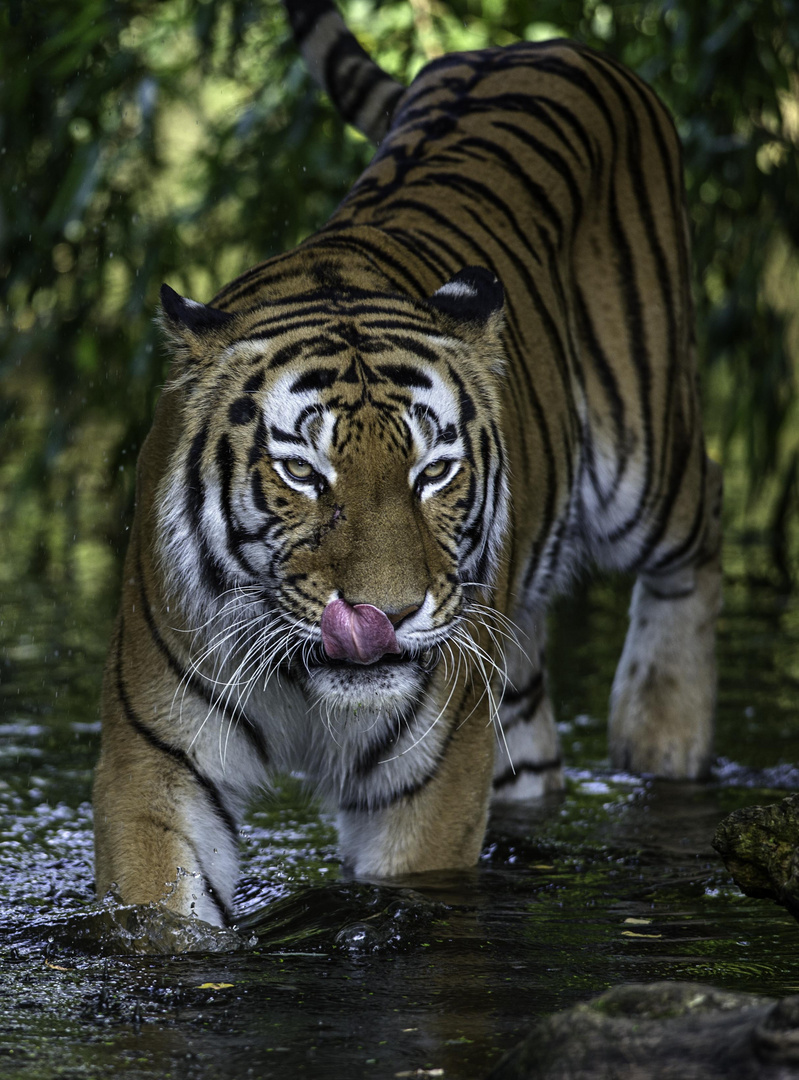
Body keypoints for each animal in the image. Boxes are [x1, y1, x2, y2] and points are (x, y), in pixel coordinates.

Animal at [93, 0, 725, 928]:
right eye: (303, 474)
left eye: (432, 473)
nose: (382, 616)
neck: (306, 686)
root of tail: (526, 45)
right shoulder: (159, 761)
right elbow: (159, 909)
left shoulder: (427, 780)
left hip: (645, 458)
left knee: (703, 519)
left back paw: (662, 727)